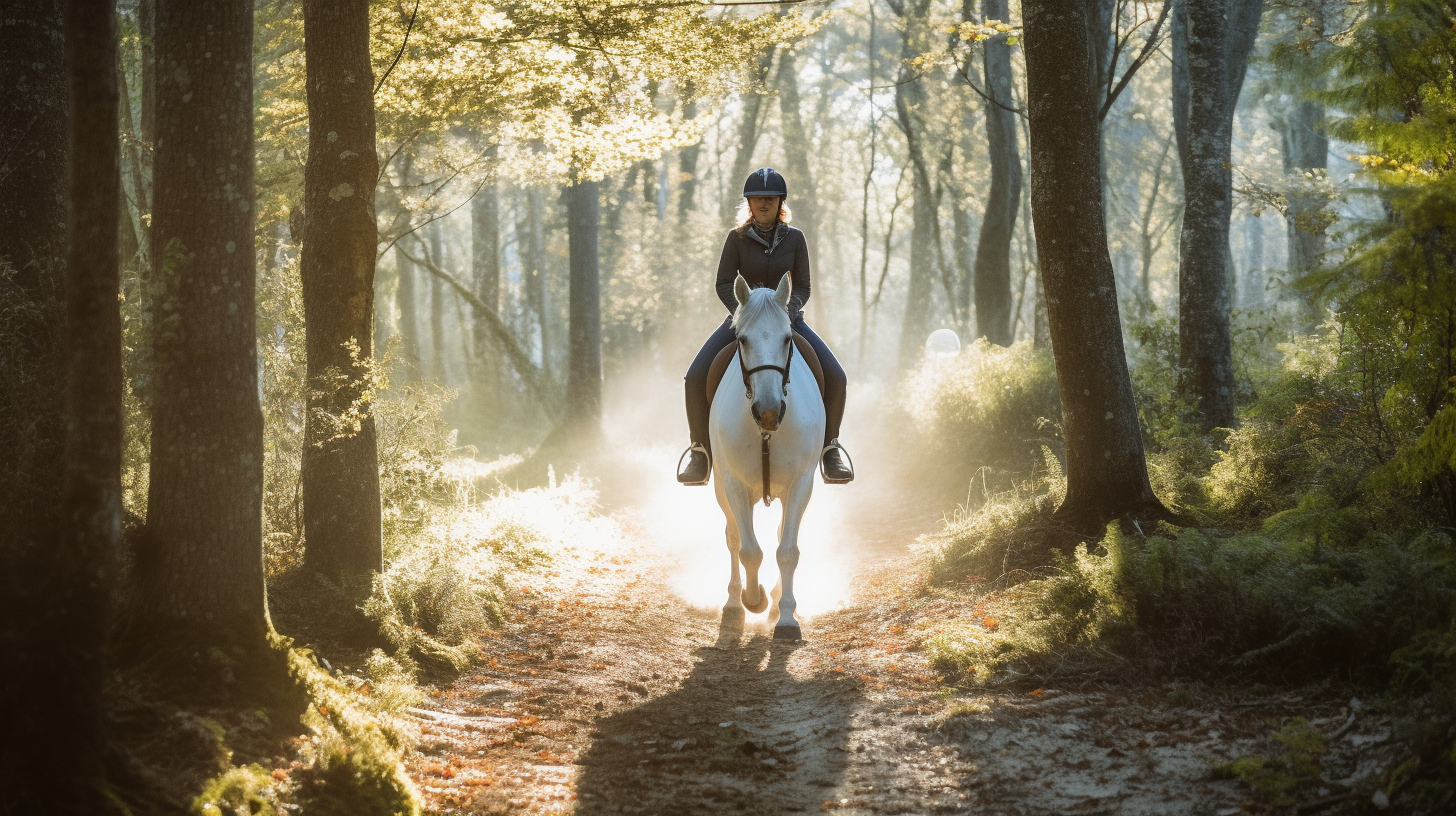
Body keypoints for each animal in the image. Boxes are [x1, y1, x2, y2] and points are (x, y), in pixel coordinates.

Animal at [710, 273, 827, 644]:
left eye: (787, 338)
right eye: (742, 339)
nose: (769, 412)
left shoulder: (801, 484)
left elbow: (787, 551)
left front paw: (786, 618)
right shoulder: (734, 484)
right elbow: (748, 549)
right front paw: (753, 599)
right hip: (721, 487)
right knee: (733, 538)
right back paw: (735, 606)